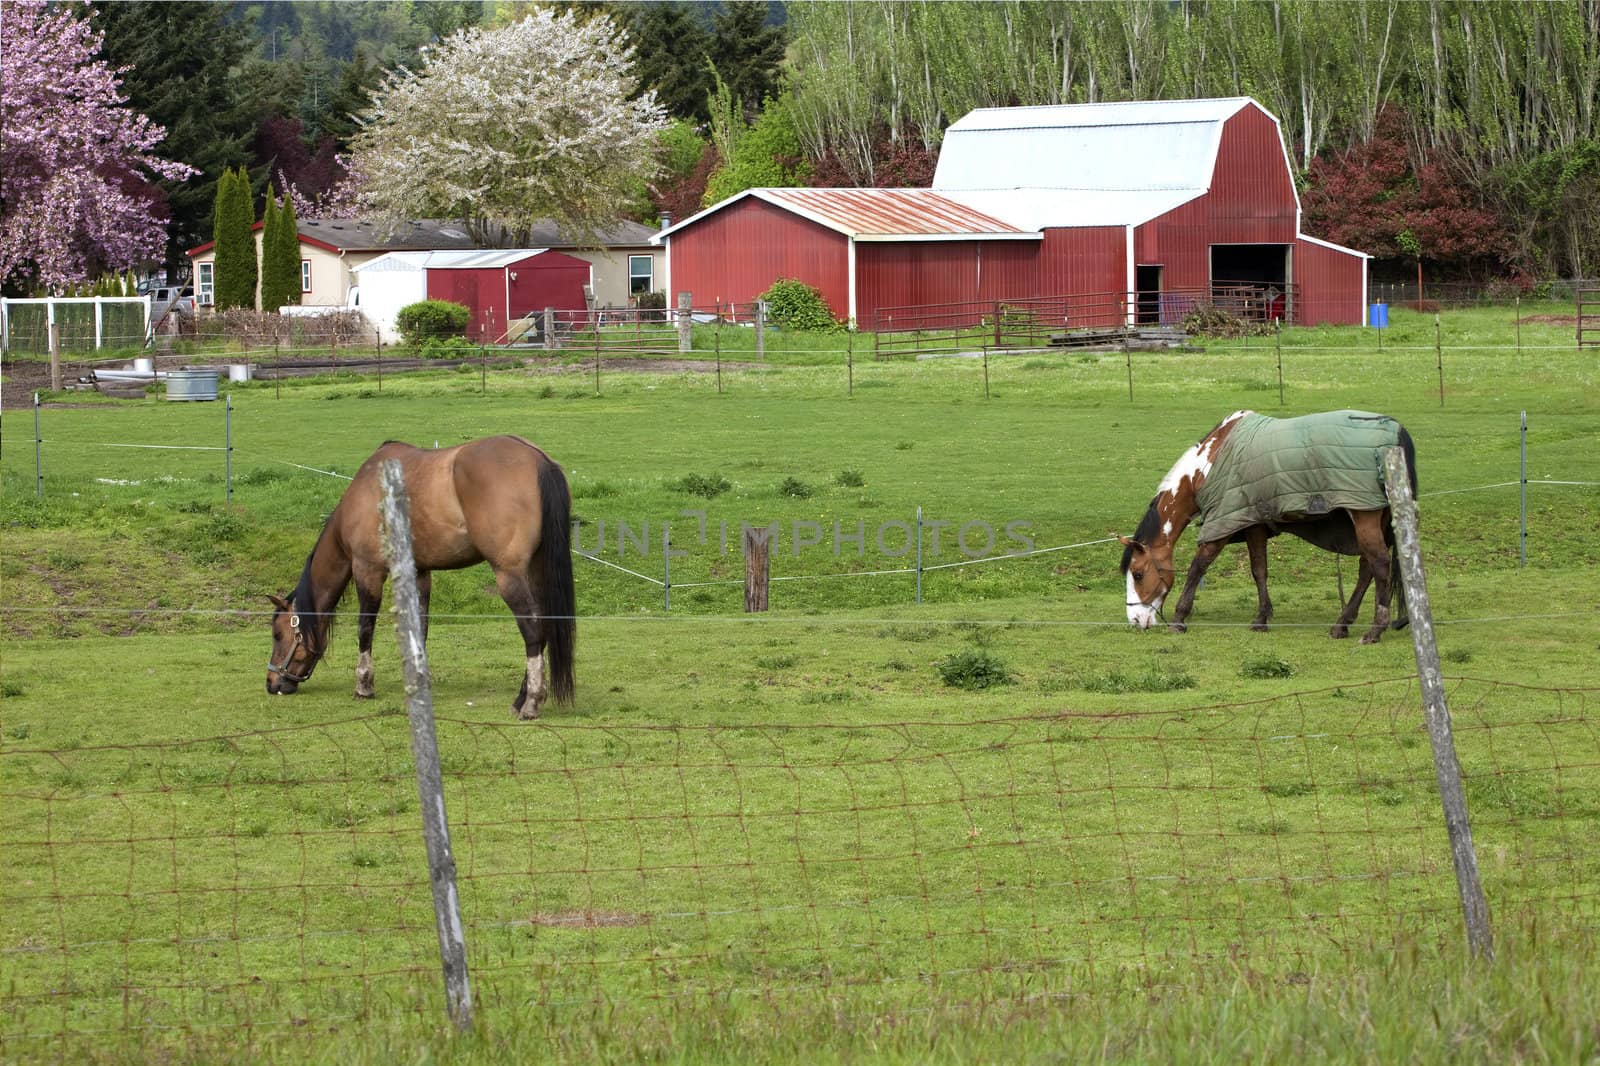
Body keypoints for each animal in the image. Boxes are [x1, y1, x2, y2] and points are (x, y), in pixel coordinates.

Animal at [267, 432, 576, 713]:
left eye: (278, 634)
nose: (272, 683)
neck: (364, 493)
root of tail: (539, 460)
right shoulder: (419, 572)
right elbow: (420, 627)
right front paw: (419, 679)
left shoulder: (368, 570)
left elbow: (365, 627)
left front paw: (363, 685)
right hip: (535, 571)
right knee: (544, 625)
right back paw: (523, 697)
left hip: (509, 575)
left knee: (532, 628)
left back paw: (531, 702)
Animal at [1126, 406, 1414, 640]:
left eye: (1138, 574)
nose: (1136, 620)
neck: (1206, 466)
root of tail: (1395, 431)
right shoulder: (1253, 524)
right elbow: (1259, 570)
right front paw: (1262, 617)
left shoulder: (1223, 523)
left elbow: (1198, 567)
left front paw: (1179, 618)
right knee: (1367, 568)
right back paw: (1342, 624)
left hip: (1364, 516)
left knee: (1379, 565)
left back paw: (1374, 630)